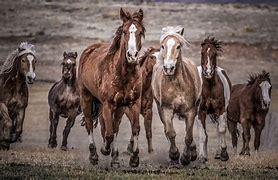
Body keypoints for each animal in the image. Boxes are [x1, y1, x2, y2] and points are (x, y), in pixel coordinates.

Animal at [77, 7, 144, 167]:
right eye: (124, 31)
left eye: (140, 32)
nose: (132, 55)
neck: (124, 74)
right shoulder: (107, 104)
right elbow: (107, 133)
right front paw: (104, 149)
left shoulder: (133, 103)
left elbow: (134, 128)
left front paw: (134, 158)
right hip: (86, 98)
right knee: (90, 124)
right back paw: (94, 155)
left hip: (118, 107)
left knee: (114, 127)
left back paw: (114, 159)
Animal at [152, 25, 202, 166]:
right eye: (163, 46)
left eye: (178, 46)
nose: (168, 68)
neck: (178, 85)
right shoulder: (166, 110)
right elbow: (171, 132)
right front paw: (174, 155)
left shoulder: (190, 111)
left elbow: (188, 136)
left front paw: (186, 157)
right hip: (160, 109)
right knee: (167, 130)